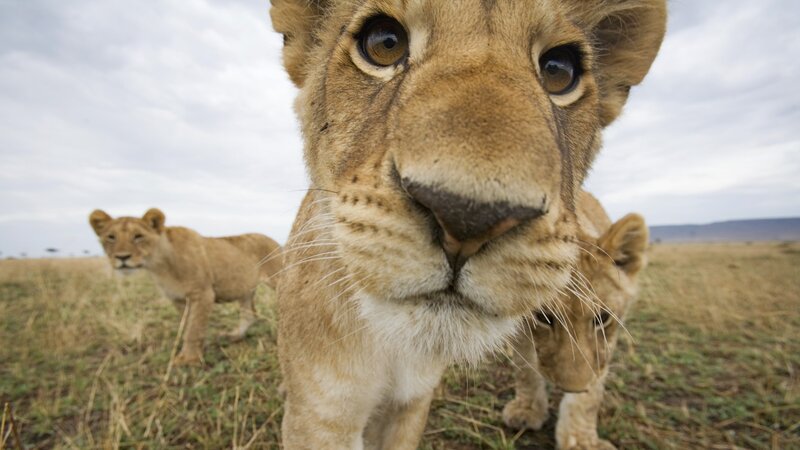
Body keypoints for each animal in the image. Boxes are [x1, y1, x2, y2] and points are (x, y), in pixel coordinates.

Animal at [89, 208, 282, 366]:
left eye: (138, 236)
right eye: (111, 237)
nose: (122, 257)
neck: (159, 264)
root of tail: (272, 239)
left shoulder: (203, 294)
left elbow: (193, 329)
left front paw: (188, 359)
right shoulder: (178, 299)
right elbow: (188, 325)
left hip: (276, 277)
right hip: (246, 289)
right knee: (249, 314)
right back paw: (235, 336)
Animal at [502, 192, 649, 450]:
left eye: (602, 318)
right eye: (543, 317)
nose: (572, 387)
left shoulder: (605, 344)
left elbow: (589, 397)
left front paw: (580, 441)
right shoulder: (519, 323)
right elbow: (525, 368)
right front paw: (527, 410)